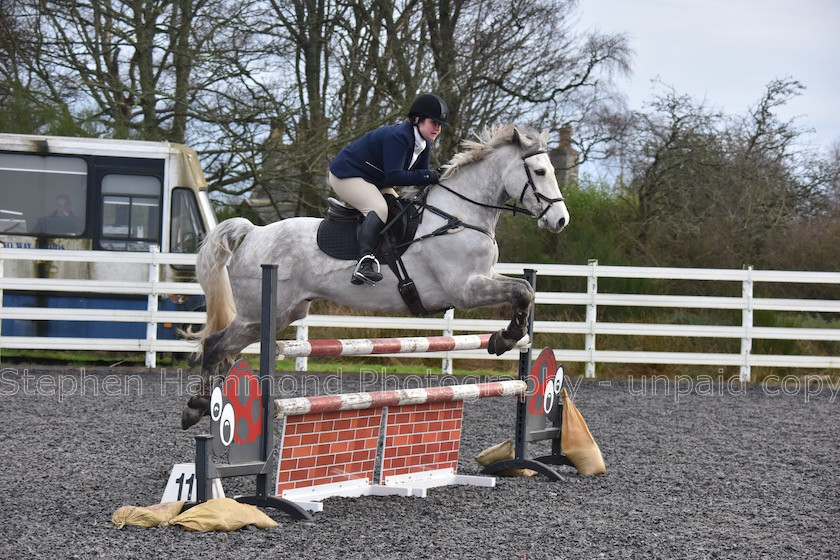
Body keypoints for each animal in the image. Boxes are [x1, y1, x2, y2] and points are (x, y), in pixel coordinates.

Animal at [183, 123, 572, 428]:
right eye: (539, 172)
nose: (561, 221)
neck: (459, 216)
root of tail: (254, 231)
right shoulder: (465, 289)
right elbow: (523, 292)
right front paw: (505, 338)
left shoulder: (484, 276)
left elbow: (524, 288)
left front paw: (504, 338)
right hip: (260, 312)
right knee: (214, 345)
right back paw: (196, 407)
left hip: (278, 315)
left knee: (224, 349)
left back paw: (206, 404)